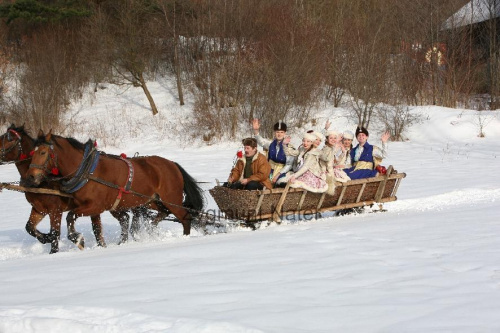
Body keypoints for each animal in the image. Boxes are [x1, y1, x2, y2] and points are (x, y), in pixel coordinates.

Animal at [0, 124, 121, 252]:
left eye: (9, 139)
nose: (31, 177)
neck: (43, 182)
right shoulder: (39, 209)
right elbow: (30, 227)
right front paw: (45, 238)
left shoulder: (55, 211)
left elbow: (55, 234)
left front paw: (55, 249)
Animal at [24, 129, 205, 236]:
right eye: (32, 152)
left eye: (42, 152)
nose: (31, 176)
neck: (86, 170)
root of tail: (172, 164)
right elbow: (74, 217)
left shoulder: (96, 206)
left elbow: (70, 216)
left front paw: (76, 238)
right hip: (151, 201)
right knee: (164, 213)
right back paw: (151, 228)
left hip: (171, 199)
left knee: (185, 218)